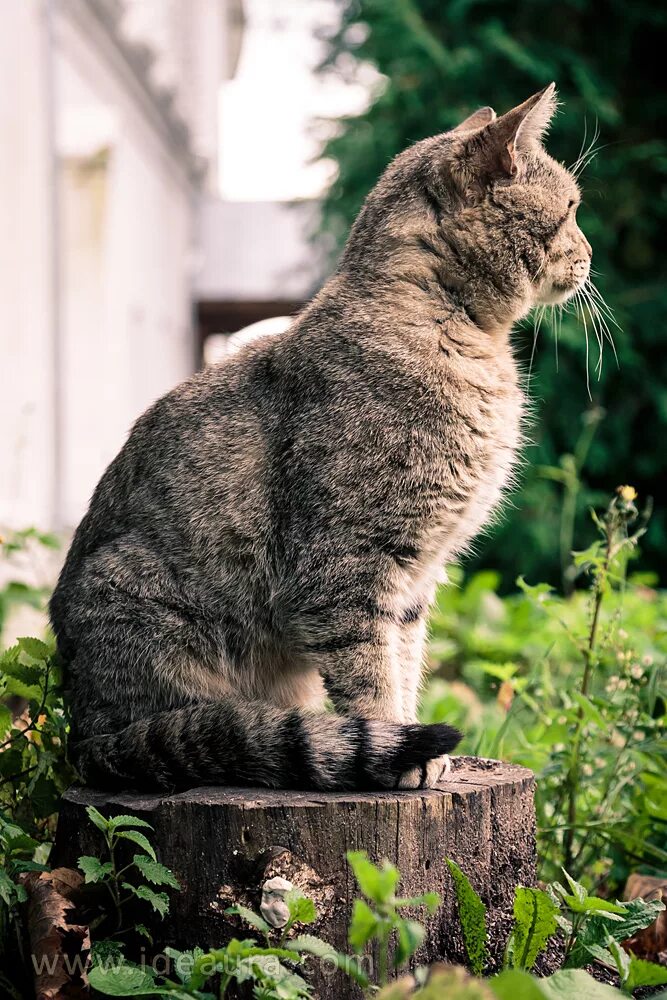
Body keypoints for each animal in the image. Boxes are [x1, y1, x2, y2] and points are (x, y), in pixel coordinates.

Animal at [52, 84, 596, 788]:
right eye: (573, 208)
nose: (592, 254)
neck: (462, 336)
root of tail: (83, 737)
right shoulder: (346, 567)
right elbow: (370, 675)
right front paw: (401, 750)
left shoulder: (416, 580)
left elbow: (406, 664)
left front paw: (419, 744)